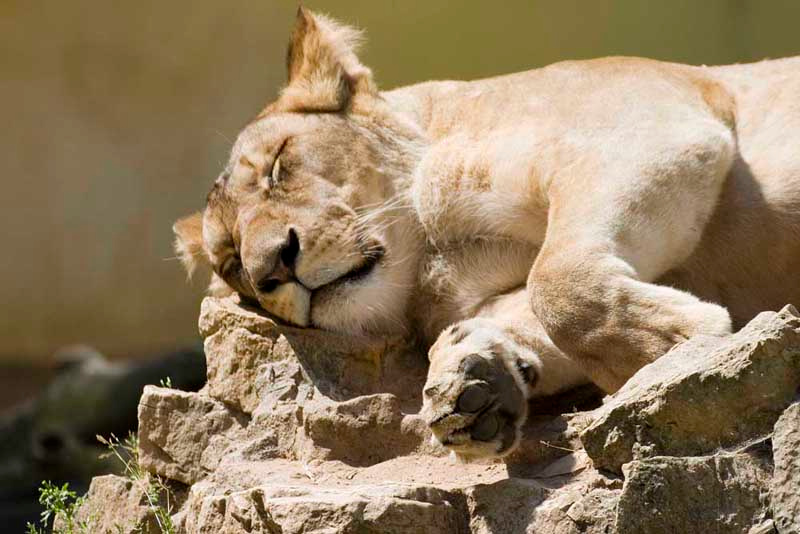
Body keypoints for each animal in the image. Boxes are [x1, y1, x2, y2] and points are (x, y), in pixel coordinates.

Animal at [173, 8, 800, 460]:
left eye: (279, 164)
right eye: (231, 263)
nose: (273, 266)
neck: (430, 255)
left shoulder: (653, 126)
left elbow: (558, 282)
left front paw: (679, 344)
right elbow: (524, 312)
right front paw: (474, 380)